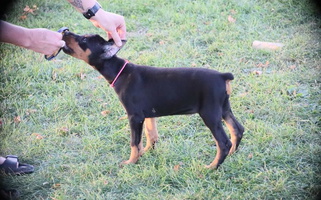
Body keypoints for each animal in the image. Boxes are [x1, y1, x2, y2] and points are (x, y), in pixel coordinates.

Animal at [62, 30, 242, 169]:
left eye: (84, 40)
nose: (65, 31)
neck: (119, 71)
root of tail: (222, 76)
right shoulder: (148, 114)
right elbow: (151, 134)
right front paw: (146, 152)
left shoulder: (134, 116)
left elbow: (134, 142)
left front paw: (131, 162)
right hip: (224, 108)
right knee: (237, 130)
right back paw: (232, 154)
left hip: (209, 113)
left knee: (223, 143)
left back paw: (212, 167)